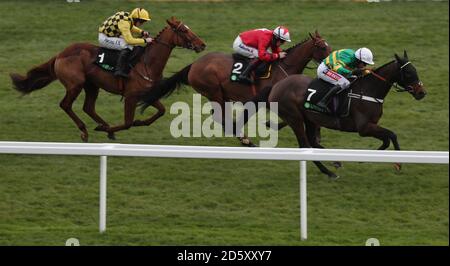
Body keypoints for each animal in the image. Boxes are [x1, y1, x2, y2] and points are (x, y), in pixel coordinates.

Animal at [9, 16, 206, 141]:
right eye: (183, 30)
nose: (202, 44)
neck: (147, 63)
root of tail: (60, 54)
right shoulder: (131, 97)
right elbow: (127, 123)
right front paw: (111, 127)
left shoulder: (146, 94)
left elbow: (161, 111)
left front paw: (139, 121)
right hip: (76, 84)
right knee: (65, 105)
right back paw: (85, 131)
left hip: (92, 85)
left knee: (88, 107)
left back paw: (103, 127)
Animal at [140, 30, 330, 145]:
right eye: (322, 47)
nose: (330, 62)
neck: (285, 67)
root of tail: (194, 64)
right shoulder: (270, 100)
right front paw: (271, 124)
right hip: (213, 91)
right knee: (219, 116)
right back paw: (244, 139)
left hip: (222, 95)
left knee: (220, 116)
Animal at [256, 50, 426, 178]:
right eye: (409, 73)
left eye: (416, 70)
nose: (422, 93)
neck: (368, 91)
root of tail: (276, 86)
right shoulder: (364, 128)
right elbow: (392, 135)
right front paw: (398, 163)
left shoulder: (371, 126)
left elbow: (387, 140)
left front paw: (366, 159)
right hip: (294, 118)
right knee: (305, 145)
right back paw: (329, 172)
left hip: (310, 118)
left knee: (312, 142)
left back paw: (335, 161)